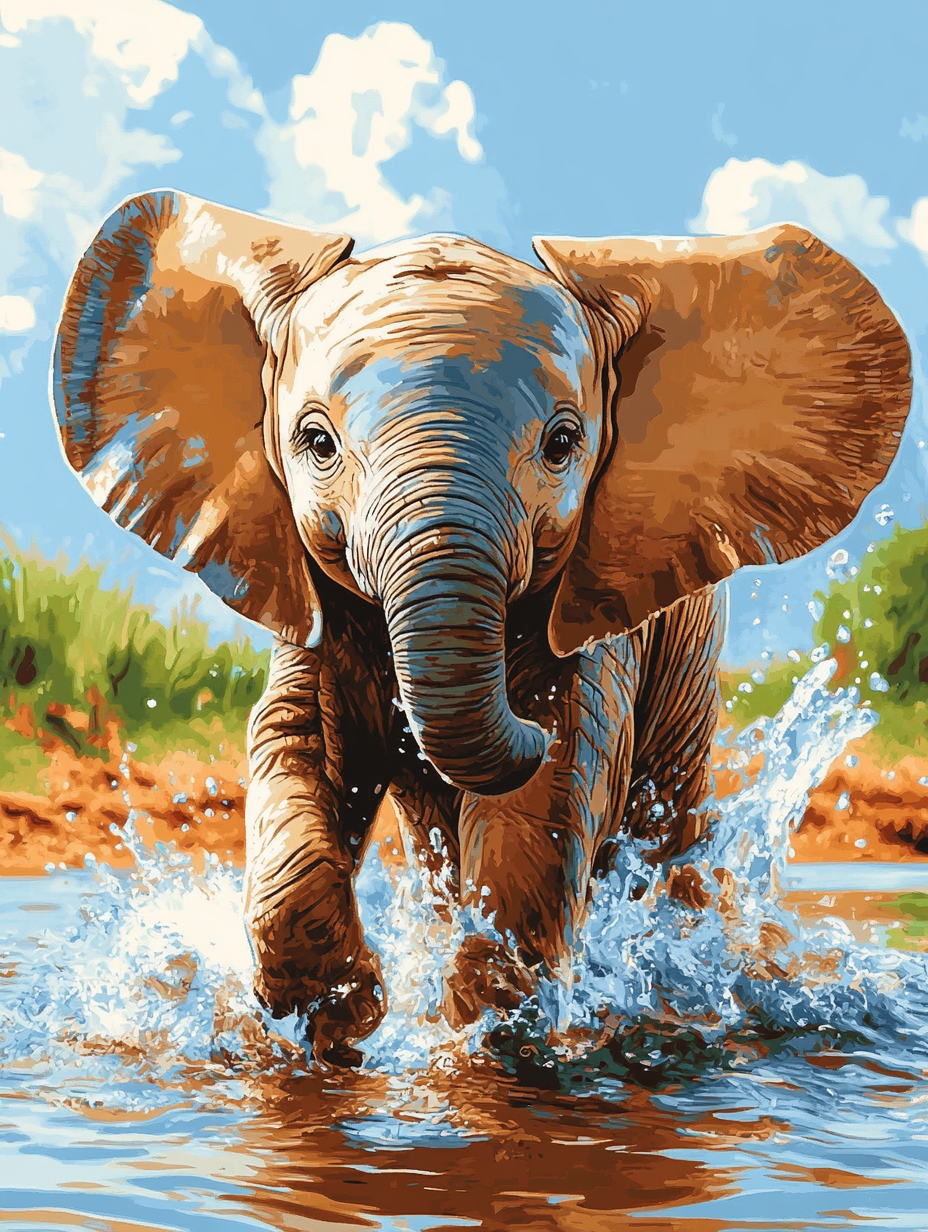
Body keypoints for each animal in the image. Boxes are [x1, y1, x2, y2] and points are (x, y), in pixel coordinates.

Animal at [52, 191, 912, 1065]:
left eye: (563, 444)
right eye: (315, 443)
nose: (515, 725)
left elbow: (552, 787)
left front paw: (489, 1045)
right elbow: (296, 749)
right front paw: (334, 1025)